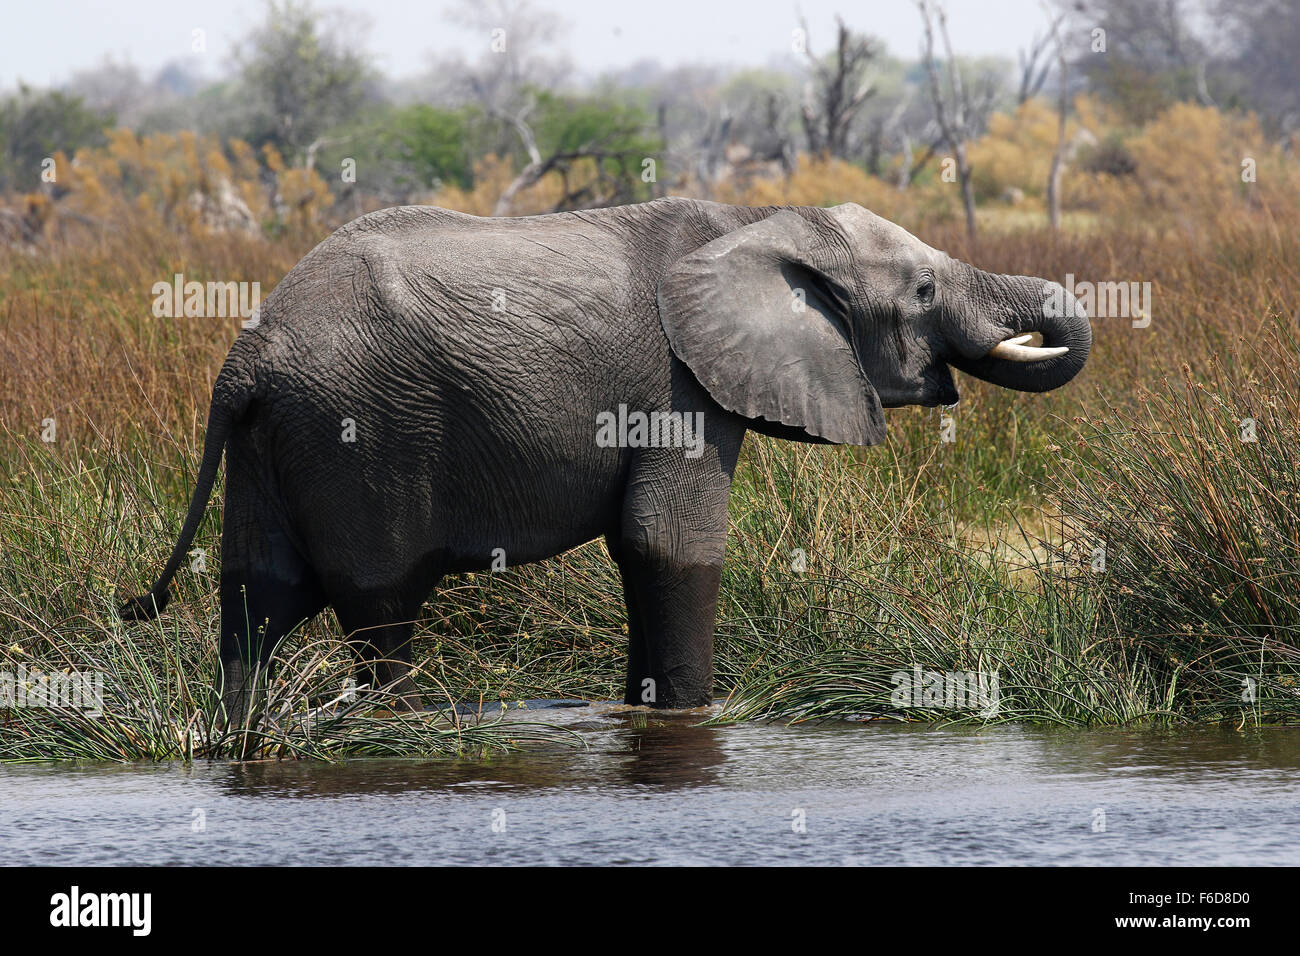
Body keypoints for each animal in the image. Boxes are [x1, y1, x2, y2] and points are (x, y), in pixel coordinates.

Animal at [120, 197, 1091, 717]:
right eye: (923, 291)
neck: (758, 221)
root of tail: (244, 359)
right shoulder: (677, 389)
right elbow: (672, 544)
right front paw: (699, 717)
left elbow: (639, 553)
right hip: (357, 433)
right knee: (380, 607)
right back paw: (398, 727)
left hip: (270, 441)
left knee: (255, 600)